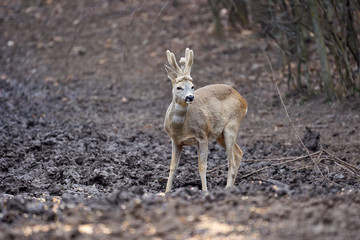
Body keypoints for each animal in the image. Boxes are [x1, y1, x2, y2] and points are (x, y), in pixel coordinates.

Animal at [164, 47, 246, 192]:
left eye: (192, 86)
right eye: (178, 87)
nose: (190, 97)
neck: (181, 128)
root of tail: (243, 100)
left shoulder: (202, 136)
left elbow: (202, 167)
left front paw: (205, 191)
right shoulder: (176, 141)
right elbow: (173, 166)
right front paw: (166, 191)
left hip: (232, 123)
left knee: (231, 160)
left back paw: (227, 188)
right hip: (219, 134)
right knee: (238, 153)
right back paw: (231, 187)